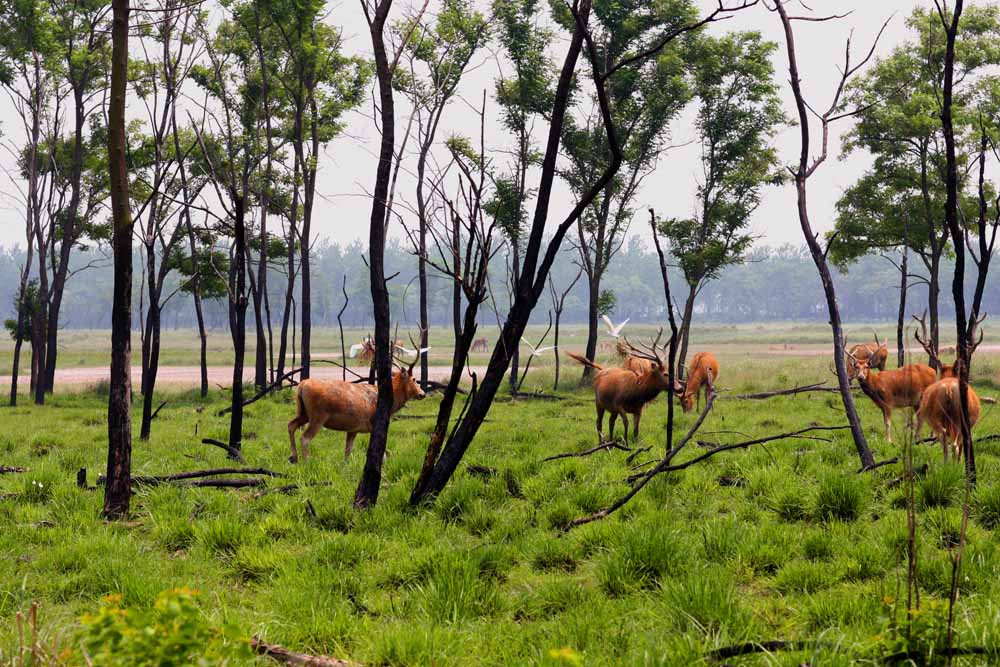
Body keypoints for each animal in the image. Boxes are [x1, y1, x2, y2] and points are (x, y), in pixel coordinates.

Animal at [292, 342, 428, 462]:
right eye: (414, 379)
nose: (422, 393)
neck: (391, 405)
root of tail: (302, 385)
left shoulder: (353, 428)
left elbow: (347, 451)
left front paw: (345, 468)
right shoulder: (373, 424)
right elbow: (384, 453)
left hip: (303, 412)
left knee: (291, 425)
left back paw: (293, 457)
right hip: (318, 415)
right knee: (304, 438)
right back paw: (306, 462)